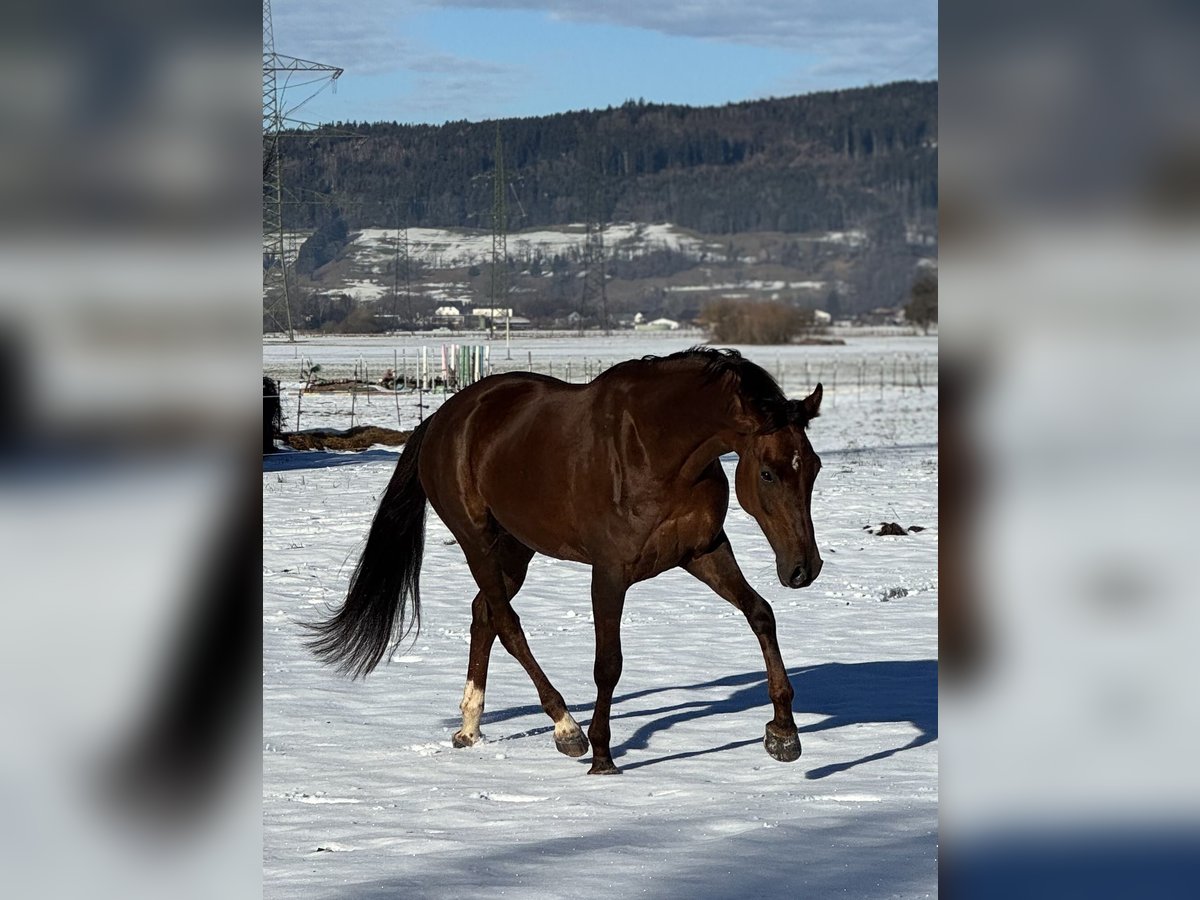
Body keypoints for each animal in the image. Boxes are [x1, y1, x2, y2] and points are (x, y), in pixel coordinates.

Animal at [307, 347, 824, 774]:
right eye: (767, 473)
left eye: (813, 467)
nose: (804, 569)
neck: (656, 449)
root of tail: (441, 419)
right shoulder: (610, 572)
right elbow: (608, 664)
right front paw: (602, 756)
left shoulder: (704, 551)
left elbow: (761, 614)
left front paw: (783, 733)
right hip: (477, 541)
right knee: (506, 622)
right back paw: (566, 729)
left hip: (516, 547)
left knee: (483, 614)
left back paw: (470, 728)